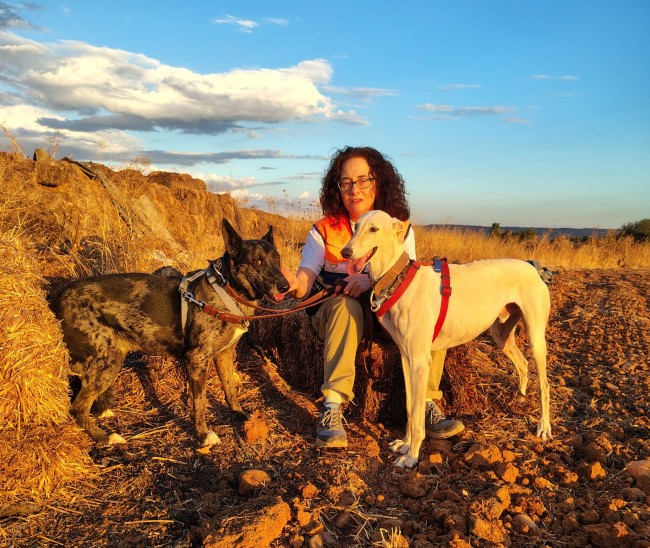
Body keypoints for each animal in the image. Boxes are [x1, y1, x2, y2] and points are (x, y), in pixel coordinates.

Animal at [51, 219, 289, 448]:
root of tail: (58, 297)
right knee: (77, 407)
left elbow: (229, 387)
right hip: (107, 361)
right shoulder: (198, 359)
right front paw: (203, 435)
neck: (227, 287)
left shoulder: (224, 354)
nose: (285, 287)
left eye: (277, 259)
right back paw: (105, 437)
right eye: (257, 262)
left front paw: (238, 413)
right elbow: (200, 402)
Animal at [342, 210, 551, 468]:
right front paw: (404, 444)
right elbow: (411, 409)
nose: (345, 252)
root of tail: (532, 267)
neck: (398, 278)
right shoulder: (407, 359)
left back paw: (543, 426)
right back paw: (519, 399)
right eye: (356, 227)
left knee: (544, 383)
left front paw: (412, 457)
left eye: (374, 229)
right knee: (522, 363)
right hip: (501, 334)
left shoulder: (420, 362)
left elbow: (418, 416)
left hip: (535, 336)